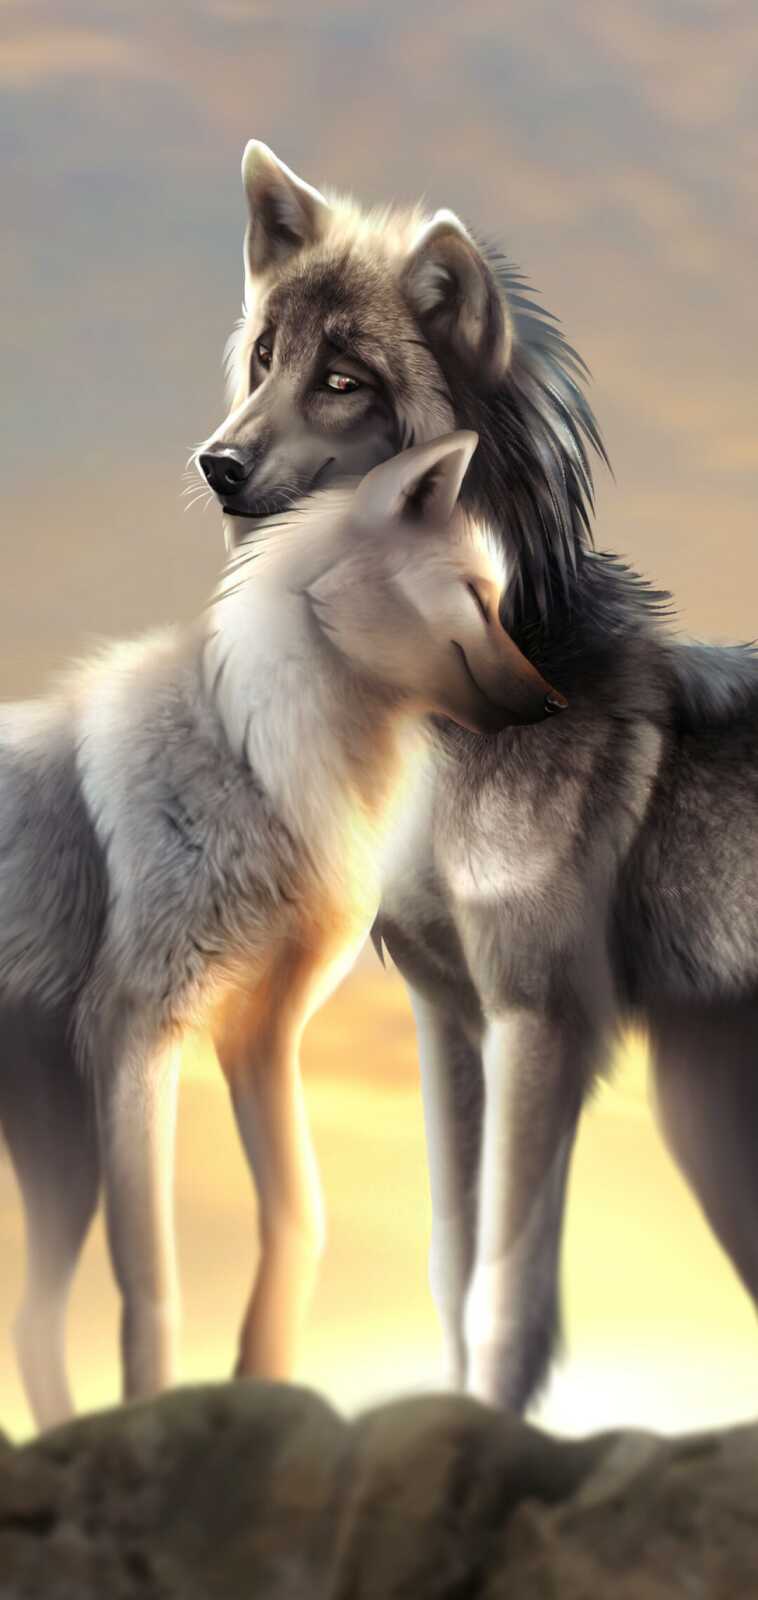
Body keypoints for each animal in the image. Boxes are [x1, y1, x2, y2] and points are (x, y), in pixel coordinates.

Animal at [0, 433, 561, 1430]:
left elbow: (300, 1218)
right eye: (476, 595)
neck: (257, 754)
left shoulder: (262, 1036)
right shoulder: (137, 1033)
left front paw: (261, 1383)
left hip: (57, 1152)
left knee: (29, 1317)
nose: (553, 704)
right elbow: (149, 1275)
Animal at [198, 139, 758, 1413]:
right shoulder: (447, 1019)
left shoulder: (536, 1018)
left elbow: (507, 1284)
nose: (215, 463)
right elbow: (452, 1267)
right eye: (263, 360)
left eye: (342, 379)